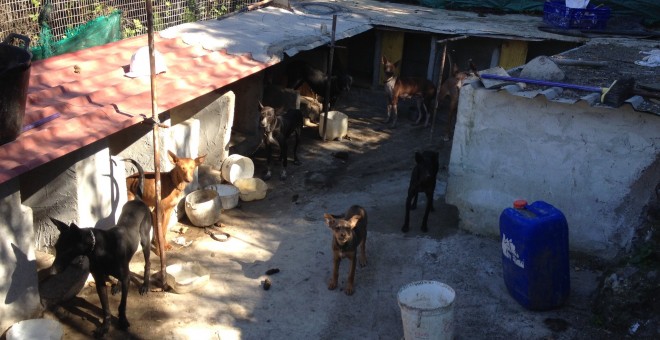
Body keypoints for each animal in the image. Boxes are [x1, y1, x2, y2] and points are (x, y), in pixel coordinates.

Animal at [50, 158, 152, 336]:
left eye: (67, 249)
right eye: (56, 248)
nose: (52, 272)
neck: (98, 249)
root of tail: (138, 200)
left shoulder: (124, 277)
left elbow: (122, 305)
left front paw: (123, 321)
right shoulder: (99, 282)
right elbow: (105, 308)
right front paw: (105, 326)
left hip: (145, 240)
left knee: (147, 263)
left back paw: (145, 285)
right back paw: (117, 286)